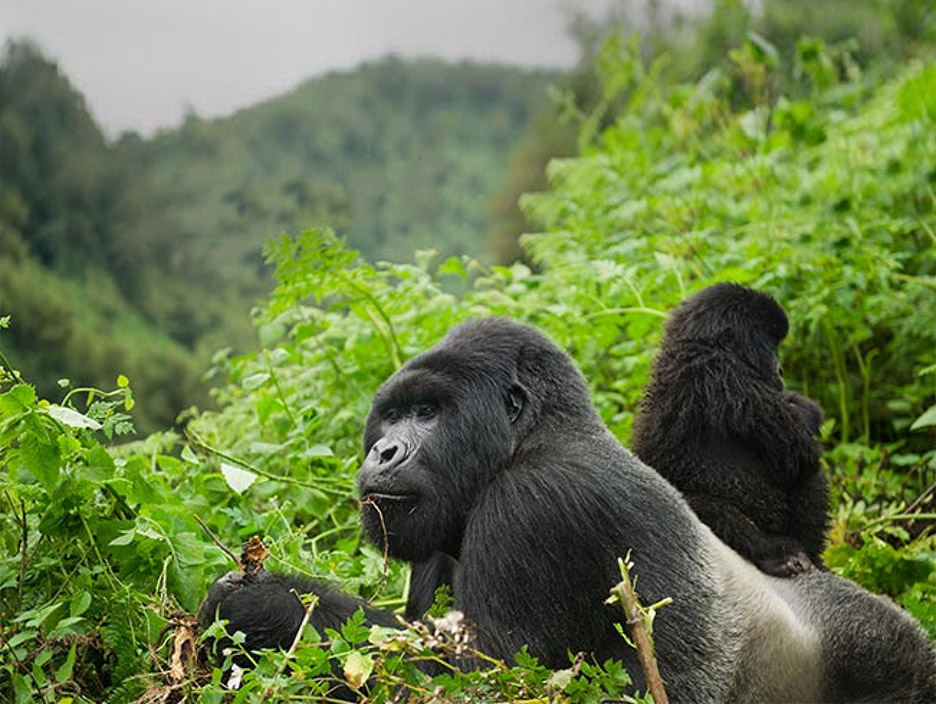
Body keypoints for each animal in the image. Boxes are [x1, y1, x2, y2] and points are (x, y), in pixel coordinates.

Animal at [199, 318, 936, 700]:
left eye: (428, 413)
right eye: (392, 415)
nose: (383, 451)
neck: (530, 438)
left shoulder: (536, 504)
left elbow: (482, 682)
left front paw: (261, 605)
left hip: (884, 653)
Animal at [632, 284, 828, 576]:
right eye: (770, 345)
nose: (780, 370)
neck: (699, 345)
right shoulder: (732, 378)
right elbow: (798, 453)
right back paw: (778, 554)